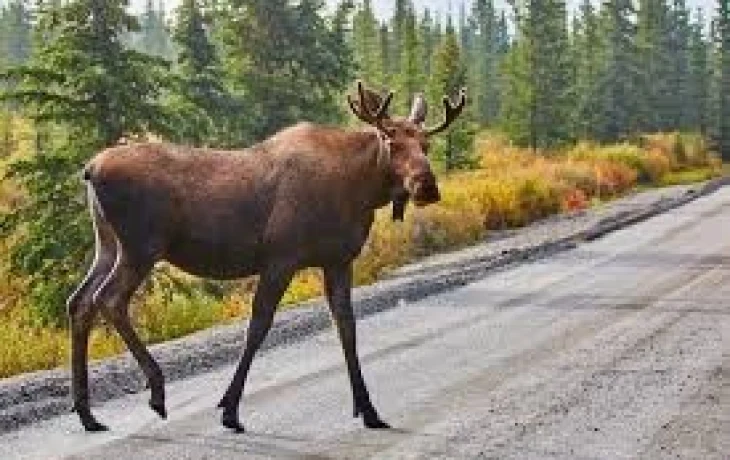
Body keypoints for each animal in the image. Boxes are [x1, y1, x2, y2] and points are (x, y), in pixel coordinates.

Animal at [67, 82, 466, 432]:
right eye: (390, 141)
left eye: (427, 143)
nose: (426, 185)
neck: (359, 192)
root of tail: (90, 169)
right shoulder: (280, 258)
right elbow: (257, 328)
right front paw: (230, 409)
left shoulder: (338, 260)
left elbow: (347, 329)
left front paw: (368, 409)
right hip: (141, 247)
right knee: (109, 299)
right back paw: (156, 391)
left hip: (108, 246)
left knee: (79, 301)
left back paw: (88, 414)